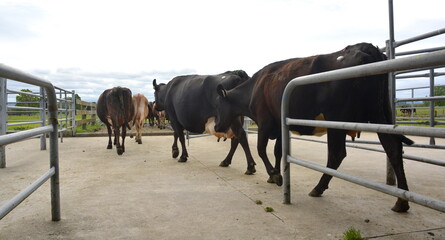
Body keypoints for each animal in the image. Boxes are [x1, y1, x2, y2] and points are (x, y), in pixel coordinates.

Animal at [215, 43, 412, 212]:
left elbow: (261, 149)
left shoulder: (265, 122)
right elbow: (279, 151)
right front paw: (276, 174)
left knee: (336, 154)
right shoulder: (279, 126)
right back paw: (401, 201)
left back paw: (318, 188)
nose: (216, 126)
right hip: (380, 114)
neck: (255, 87)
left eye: (218, 107)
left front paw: (275, 175)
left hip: (337, 120)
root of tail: (368, 47)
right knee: (393, 147)